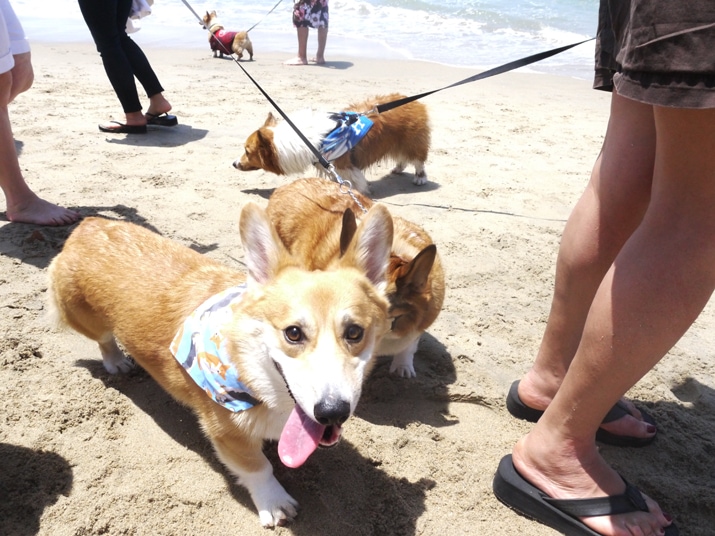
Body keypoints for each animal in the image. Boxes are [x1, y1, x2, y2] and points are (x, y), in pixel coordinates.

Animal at [46, 202, 392, 528]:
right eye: (293, 333)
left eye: (354, 332)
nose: (333, 412)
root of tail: (90, 225)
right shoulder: (227, 434)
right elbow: (258, 467)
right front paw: (274, 504)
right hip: (84, 318)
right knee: (104, 338)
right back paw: (116, 362)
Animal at [236, 93, 430, 195]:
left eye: (247, 151)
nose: (234, 164)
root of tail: (415, 101)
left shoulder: (345, 167)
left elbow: (355, 185)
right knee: (402, 158)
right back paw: (398, 168)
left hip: (412, 142)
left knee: (418, 160)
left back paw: (420, 177)